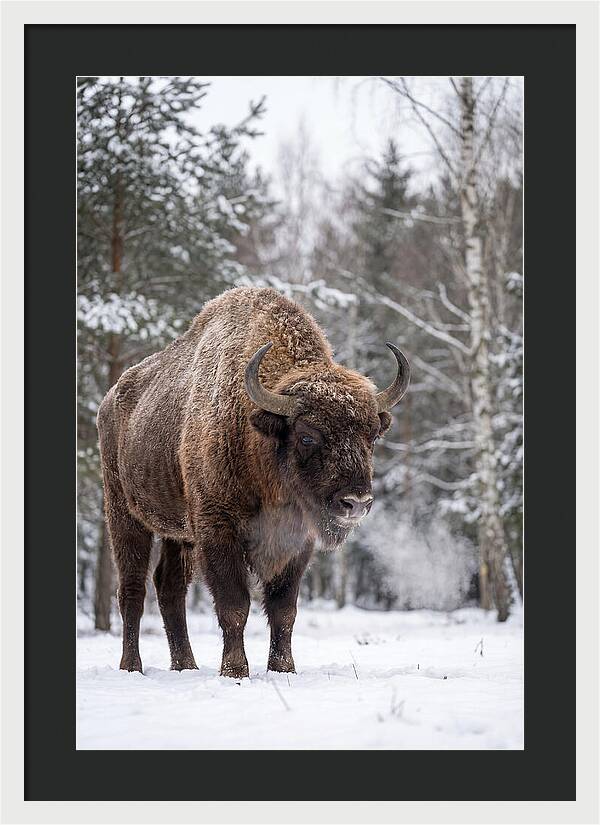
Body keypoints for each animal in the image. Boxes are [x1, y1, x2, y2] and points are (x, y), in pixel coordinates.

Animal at [97, 287, 410, 678]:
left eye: (371, 436)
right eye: (307, 436)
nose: (356, 502)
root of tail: (110, 400)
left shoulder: (297, 541)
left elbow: (283, 609)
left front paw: (283, 669)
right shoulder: (217, 531)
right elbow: (234, 605)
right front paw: (234, 671)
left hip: (178, 533)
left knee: (169, 588)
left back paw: (186, 666)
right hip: (125, 514)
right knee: (133, 590)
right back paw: (132, 667)